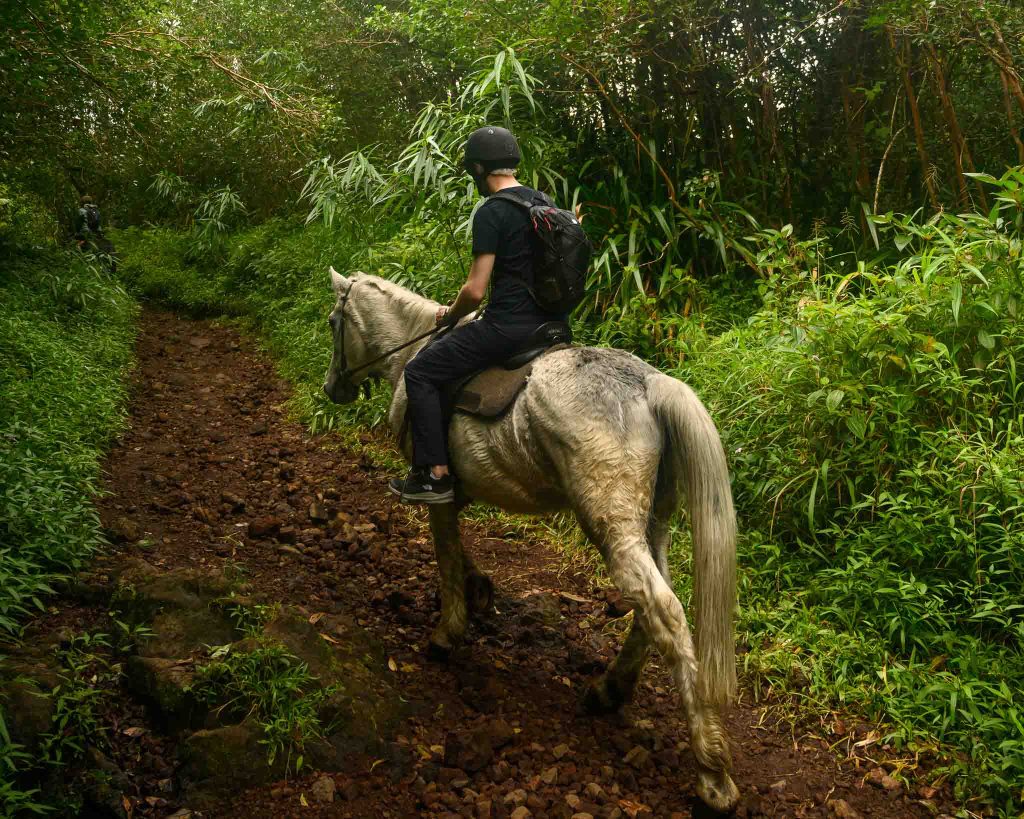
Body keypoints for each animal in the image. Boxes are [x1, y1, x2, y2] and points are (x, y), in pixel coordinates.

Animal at [323, 270, 741, 810]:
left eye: (334, 322)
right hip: (654, 522)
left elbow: (445, 553)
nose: (332, 388)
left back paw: (711, 771)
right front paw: (480, 591)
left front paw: (448, 632)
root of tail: (650, 385)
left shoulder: (436, 488)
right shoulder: (460, 493)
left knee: (662, 610)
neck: (411, 352)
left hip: (613, 523)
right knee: (654, 609)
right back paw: (609, 690)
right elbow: (461, 551)